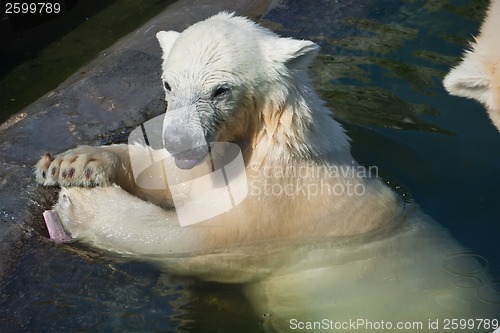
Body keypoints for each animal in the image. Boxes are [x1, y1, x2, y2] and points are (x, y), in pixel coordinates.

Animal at [35, 13, 496, 332]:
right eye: (168, 84)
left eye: (220, 90)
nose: (179, 142)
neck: (274, 148)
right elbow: (177, 180)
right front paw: (72, 164)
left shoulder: (279, 209)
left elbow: (192, 240)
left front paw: (82, 203)